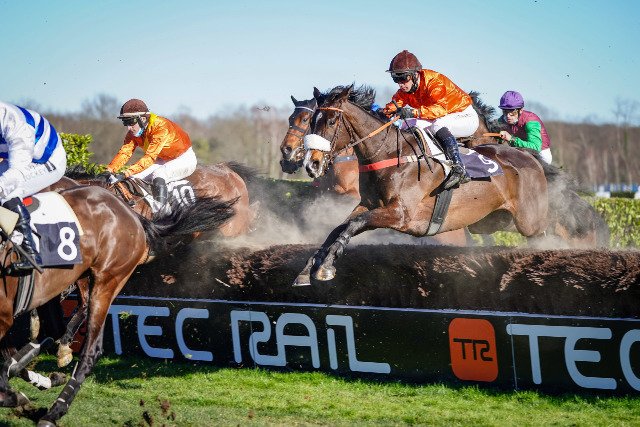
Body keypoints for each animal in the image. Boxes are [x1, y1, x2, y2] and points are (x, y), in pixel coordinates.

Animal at [0, 185, 235, 426]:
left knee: (90, 350)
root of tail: (131, 213)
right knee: (52, 330)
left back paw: (53, 411)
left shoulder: (4, 316)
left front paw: (15, 395)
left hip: (107, 280)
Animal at [293, 84, 556, 286]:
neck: (389, 153)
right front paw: (308, 268)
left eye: (331, 121)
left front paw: (325, 266)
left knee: (542, 233)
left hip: (528, 222)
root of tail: (529, 157)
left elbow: (354, 224)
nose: (311, 164)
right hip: (489, 221)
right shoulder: (368, 203)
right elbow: (340, 227)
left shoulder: (401, 214)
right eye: (312, 121)